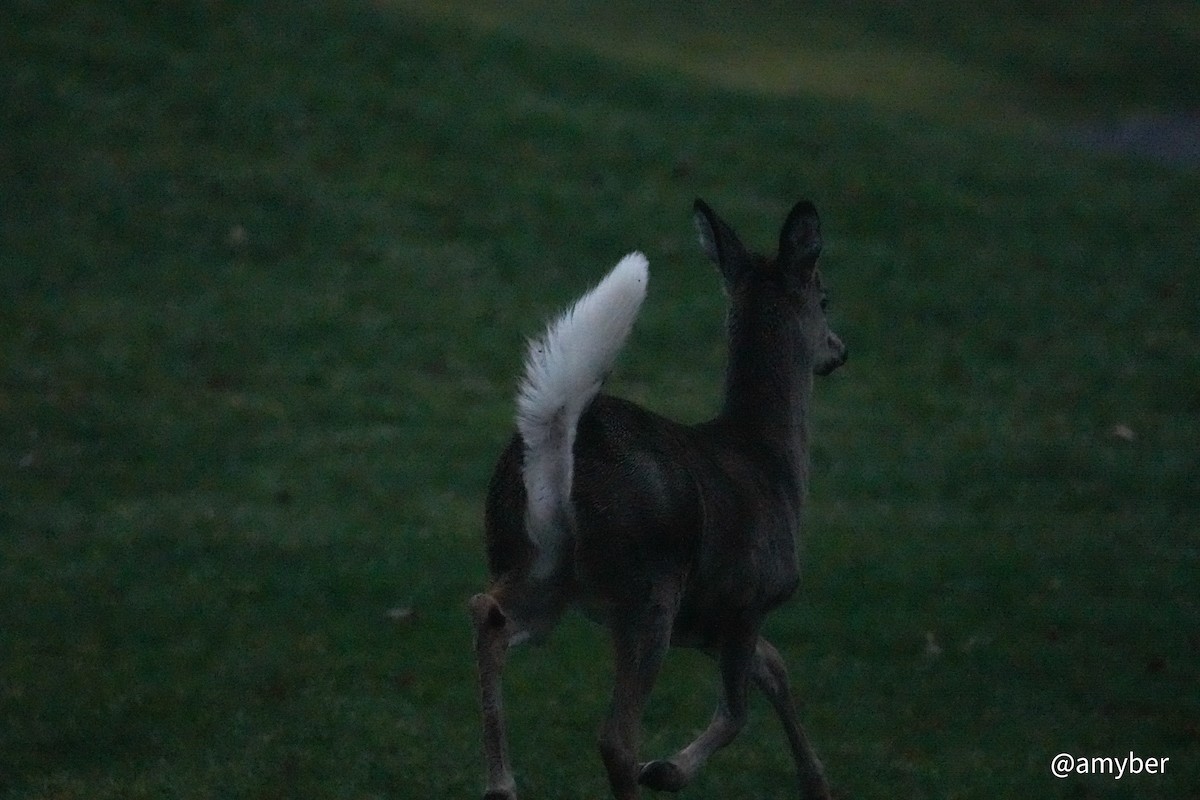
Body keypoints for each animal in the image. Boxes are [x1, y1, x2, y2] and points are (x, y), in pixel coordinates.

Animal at [469, 198, 846, 800]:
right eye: (824, 296)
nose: (839, 350)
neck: (770, 458)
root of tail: (558, 440)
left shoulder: (707, 616)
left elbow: (776, 667)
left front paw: (816, 783)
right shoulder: (751, 595)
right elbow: (738, 708)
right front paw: (667, 770)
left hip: (537, 566)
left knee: (490, 614)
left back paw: (501, 783)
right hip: (645, 588)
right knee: (616, 737)